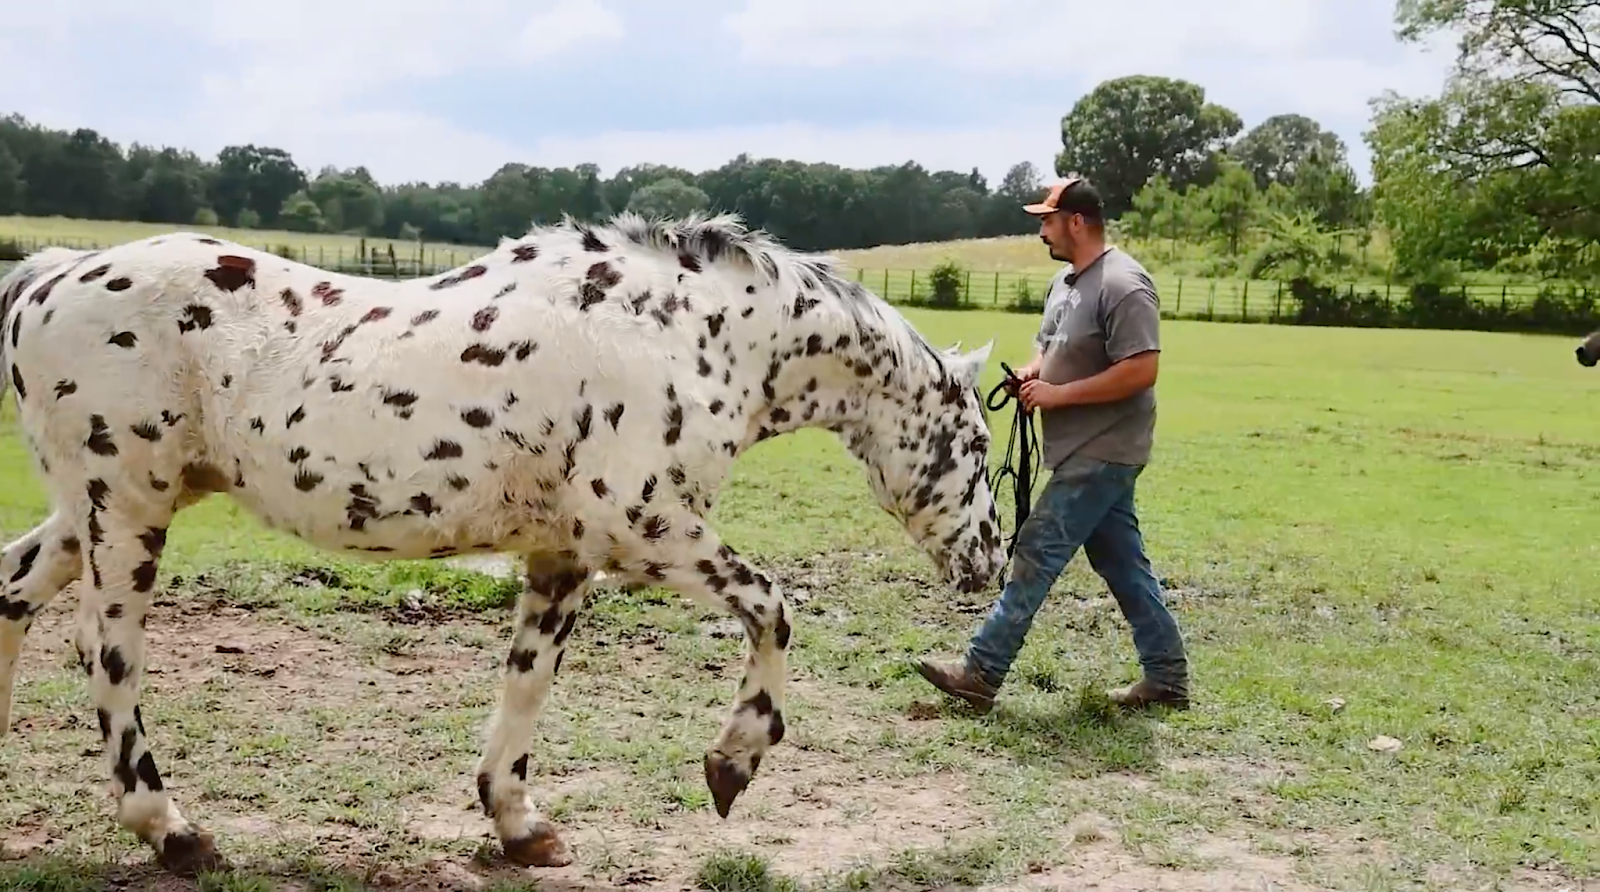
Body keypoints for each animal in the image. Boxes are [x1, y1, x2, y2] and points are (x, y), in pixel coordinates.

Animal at [0, 212, 1004, 875]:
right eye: (979, 444)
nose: (989, 560)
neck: (692, 336)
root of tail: (46, 279)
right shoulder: (646, 531)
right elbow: (773, 609)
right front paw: (731, 765)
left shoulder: (563, 555)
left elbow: (527, 684)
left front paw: (520, 827)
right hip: (126, 509)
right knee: (108, 654)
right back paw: (174, 831)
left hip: (95, 513)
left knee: (11, 592)